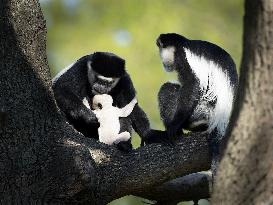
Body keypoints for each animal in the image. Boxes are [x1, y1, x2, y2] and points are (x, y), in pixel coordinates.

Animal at [156, 33, 237, 175]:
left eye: (161, 49)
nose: (162, 59)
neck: (181, 45)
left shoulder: (184, 57)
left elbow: (193, 85)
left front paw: (174, 126)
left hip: (200, 111)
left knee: (167, 89)